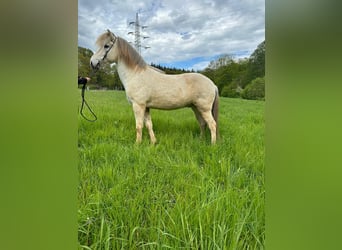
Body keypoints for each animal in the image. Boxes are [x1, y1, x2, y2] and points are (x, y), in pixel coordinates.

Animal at [90, 29, 219, 145]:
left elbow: (139, 126)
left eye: (106, 46)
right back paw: (200, 140)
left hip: (204, 109)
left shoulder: (138, 105)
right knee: (202, 123)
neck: (136, 75)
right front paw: (153, 142)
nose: (92, 62)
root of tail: (212, 84)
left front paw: (137, 145)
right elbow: (149, 125)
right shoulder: (146, 107)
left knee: (212, 124)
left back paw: (212, 145)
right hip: (195, 107)